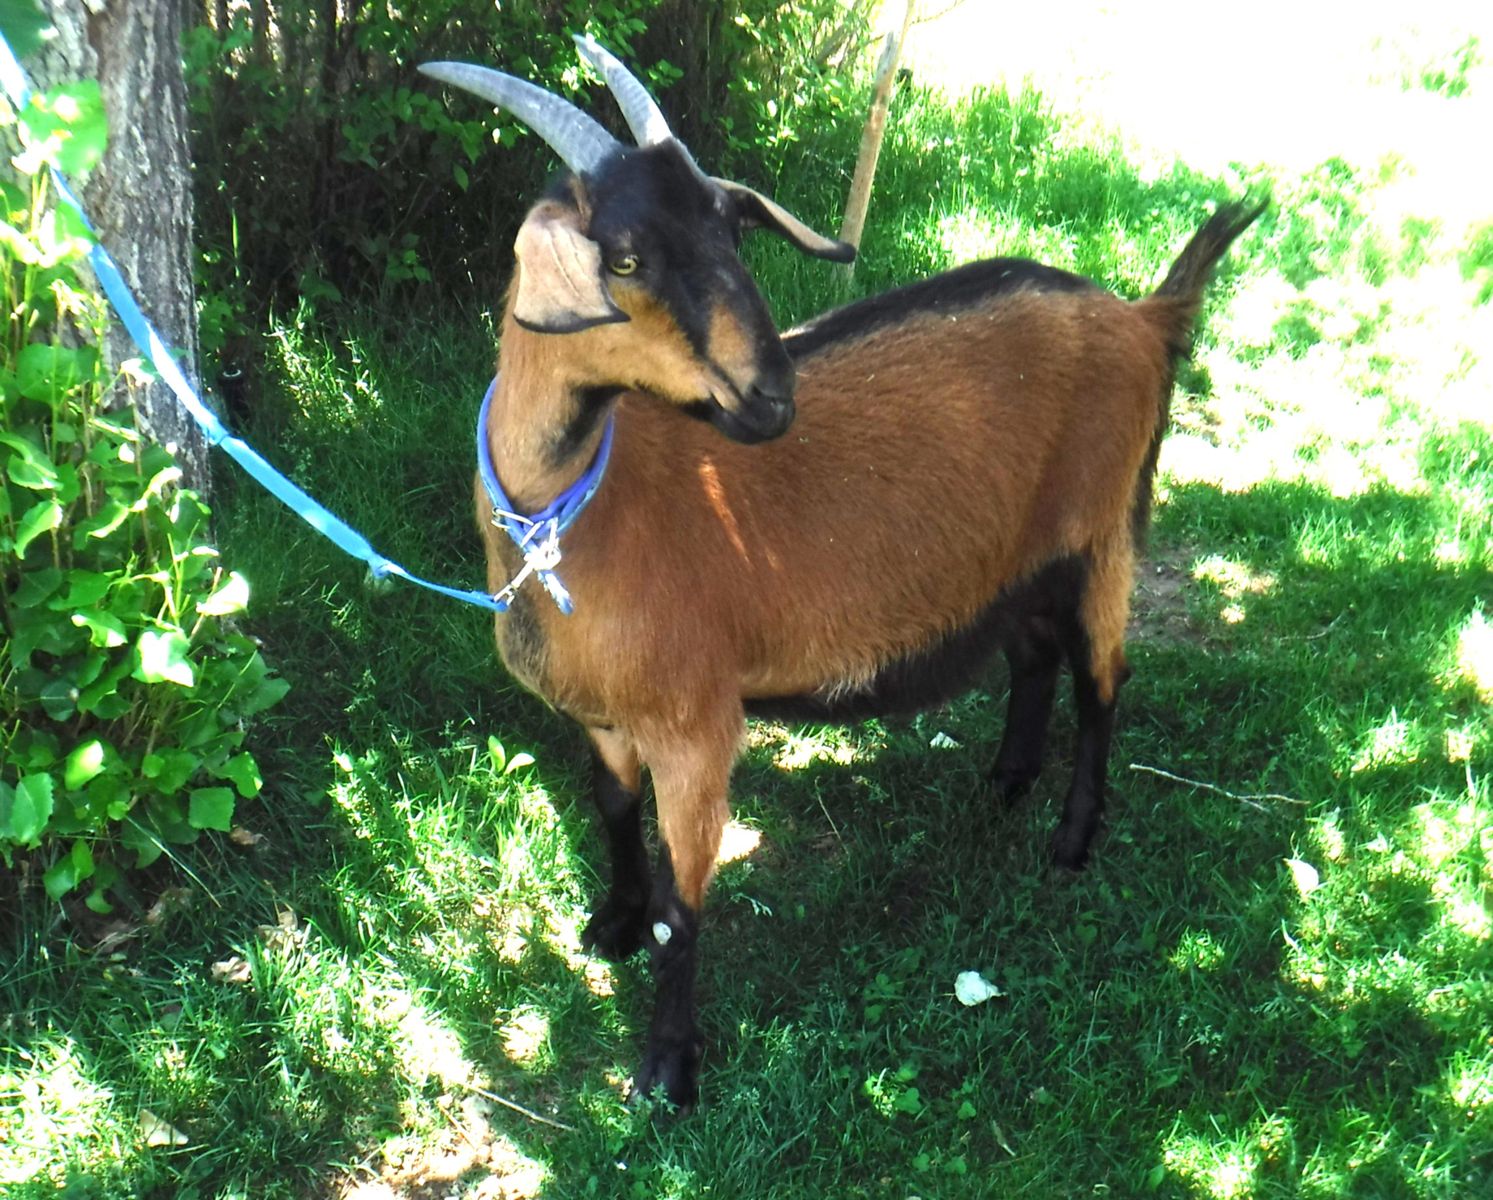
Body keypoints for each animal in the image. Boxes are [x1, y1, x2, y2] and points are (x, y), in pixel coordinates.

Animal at [423, 40, 1263, 1110]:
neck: (569, 516)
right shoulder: (602, 712)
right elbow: (612, 814)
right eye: (625, 256)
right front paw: (609, 925)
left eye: (730, 224)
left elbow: (683, 907)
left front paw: (665, 1071)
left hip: (1102, 528)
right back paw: (1005, 782)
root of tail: (1145, 318)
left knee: (1103, 679)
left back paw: (1071, 842)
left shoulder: (695, 724)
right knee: (1034, 655)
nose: (772, 395)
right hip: (1018, 554)